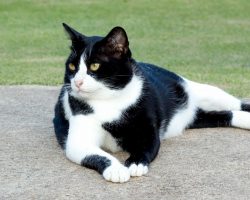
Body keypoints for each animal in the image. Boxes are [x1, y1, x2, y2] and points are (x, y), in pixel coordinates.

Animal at [53, 23, 250, 183]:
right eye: (72, 66)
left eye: (94, 66)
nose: (77, 82)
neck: (109, 101)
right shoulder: (78, 142)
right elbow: (98, 155)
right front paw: (117, 169)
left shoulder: (147, 131)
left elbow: (145, 148)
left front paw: (135, 163)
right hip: (198, 116)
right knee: (224, 114)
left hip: (207, 92)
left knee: (236, 104)